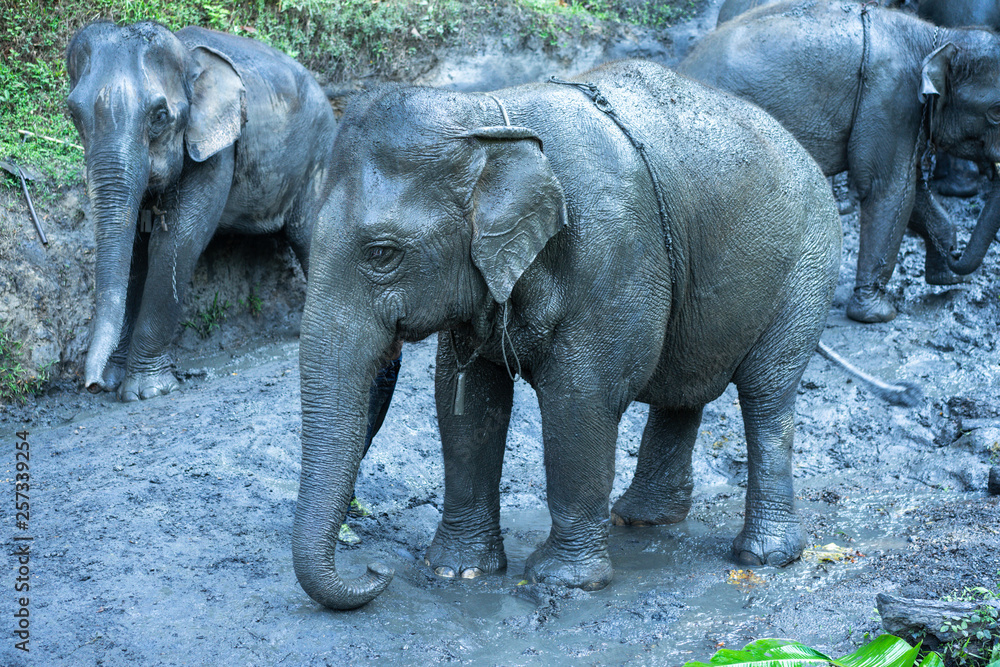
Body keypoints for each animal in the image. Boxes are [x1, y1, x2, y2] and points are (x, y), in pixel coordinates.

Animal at [66, 21, 337, 401]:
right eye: (73, 115)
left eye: (160, 116)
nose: (91, 384)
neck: (186, 57)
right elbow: (134, 249)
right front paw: (117, 380)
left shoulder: (218, 150)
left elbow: (175, 242)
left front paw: (148, 390)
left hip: (319, 151)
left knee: (308, 231)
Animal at [293, 58, 842, 609]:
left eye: (382, 254)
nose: (374, 568)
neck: (489, 117)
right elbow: (466, 403)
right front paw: (457, 572)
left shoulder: (612, 253)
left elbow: (579, 401)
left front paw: (563, 581)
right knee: (683, 388)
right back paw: (641, 519)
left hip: (806, 265)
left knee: (767, 395)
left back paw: (763, 556)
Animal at [678, 0, 1000, 324]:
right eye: (996, 112)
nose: (955, 253)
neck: (937, 37)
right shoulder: (890, 98)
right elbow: (890, 188)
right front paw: (878, 314)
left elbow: (913, 192)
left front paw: (950, 279)